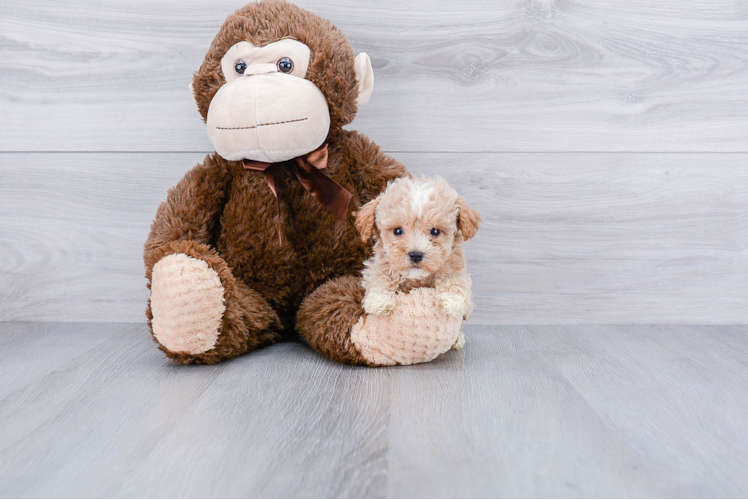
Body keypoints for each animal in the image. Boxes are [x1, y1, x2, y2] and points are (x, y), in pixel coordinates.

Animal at [356, 176, 482, 352]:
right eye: (397, 231)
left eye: (435, 231)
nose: (416, 254)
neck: (416, 278)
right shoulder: (379, 264)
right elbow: (381, 276)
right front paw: (379, 300)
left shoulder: (453, 264)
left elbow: (453, 278)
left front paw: (452, 299)